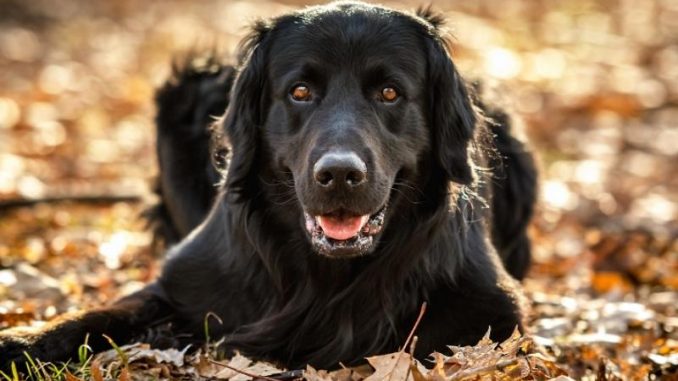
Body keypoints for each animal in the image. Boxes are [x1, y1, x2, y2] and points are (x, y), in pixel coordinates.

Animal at [2, 0, 540, 368]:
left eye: (390, 93)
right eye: (299, 92)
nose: (339, 174)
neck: (324, 273)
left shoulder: (493, 310)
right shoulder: (182, 282)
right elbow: (104, 312)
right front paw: (24, 340)